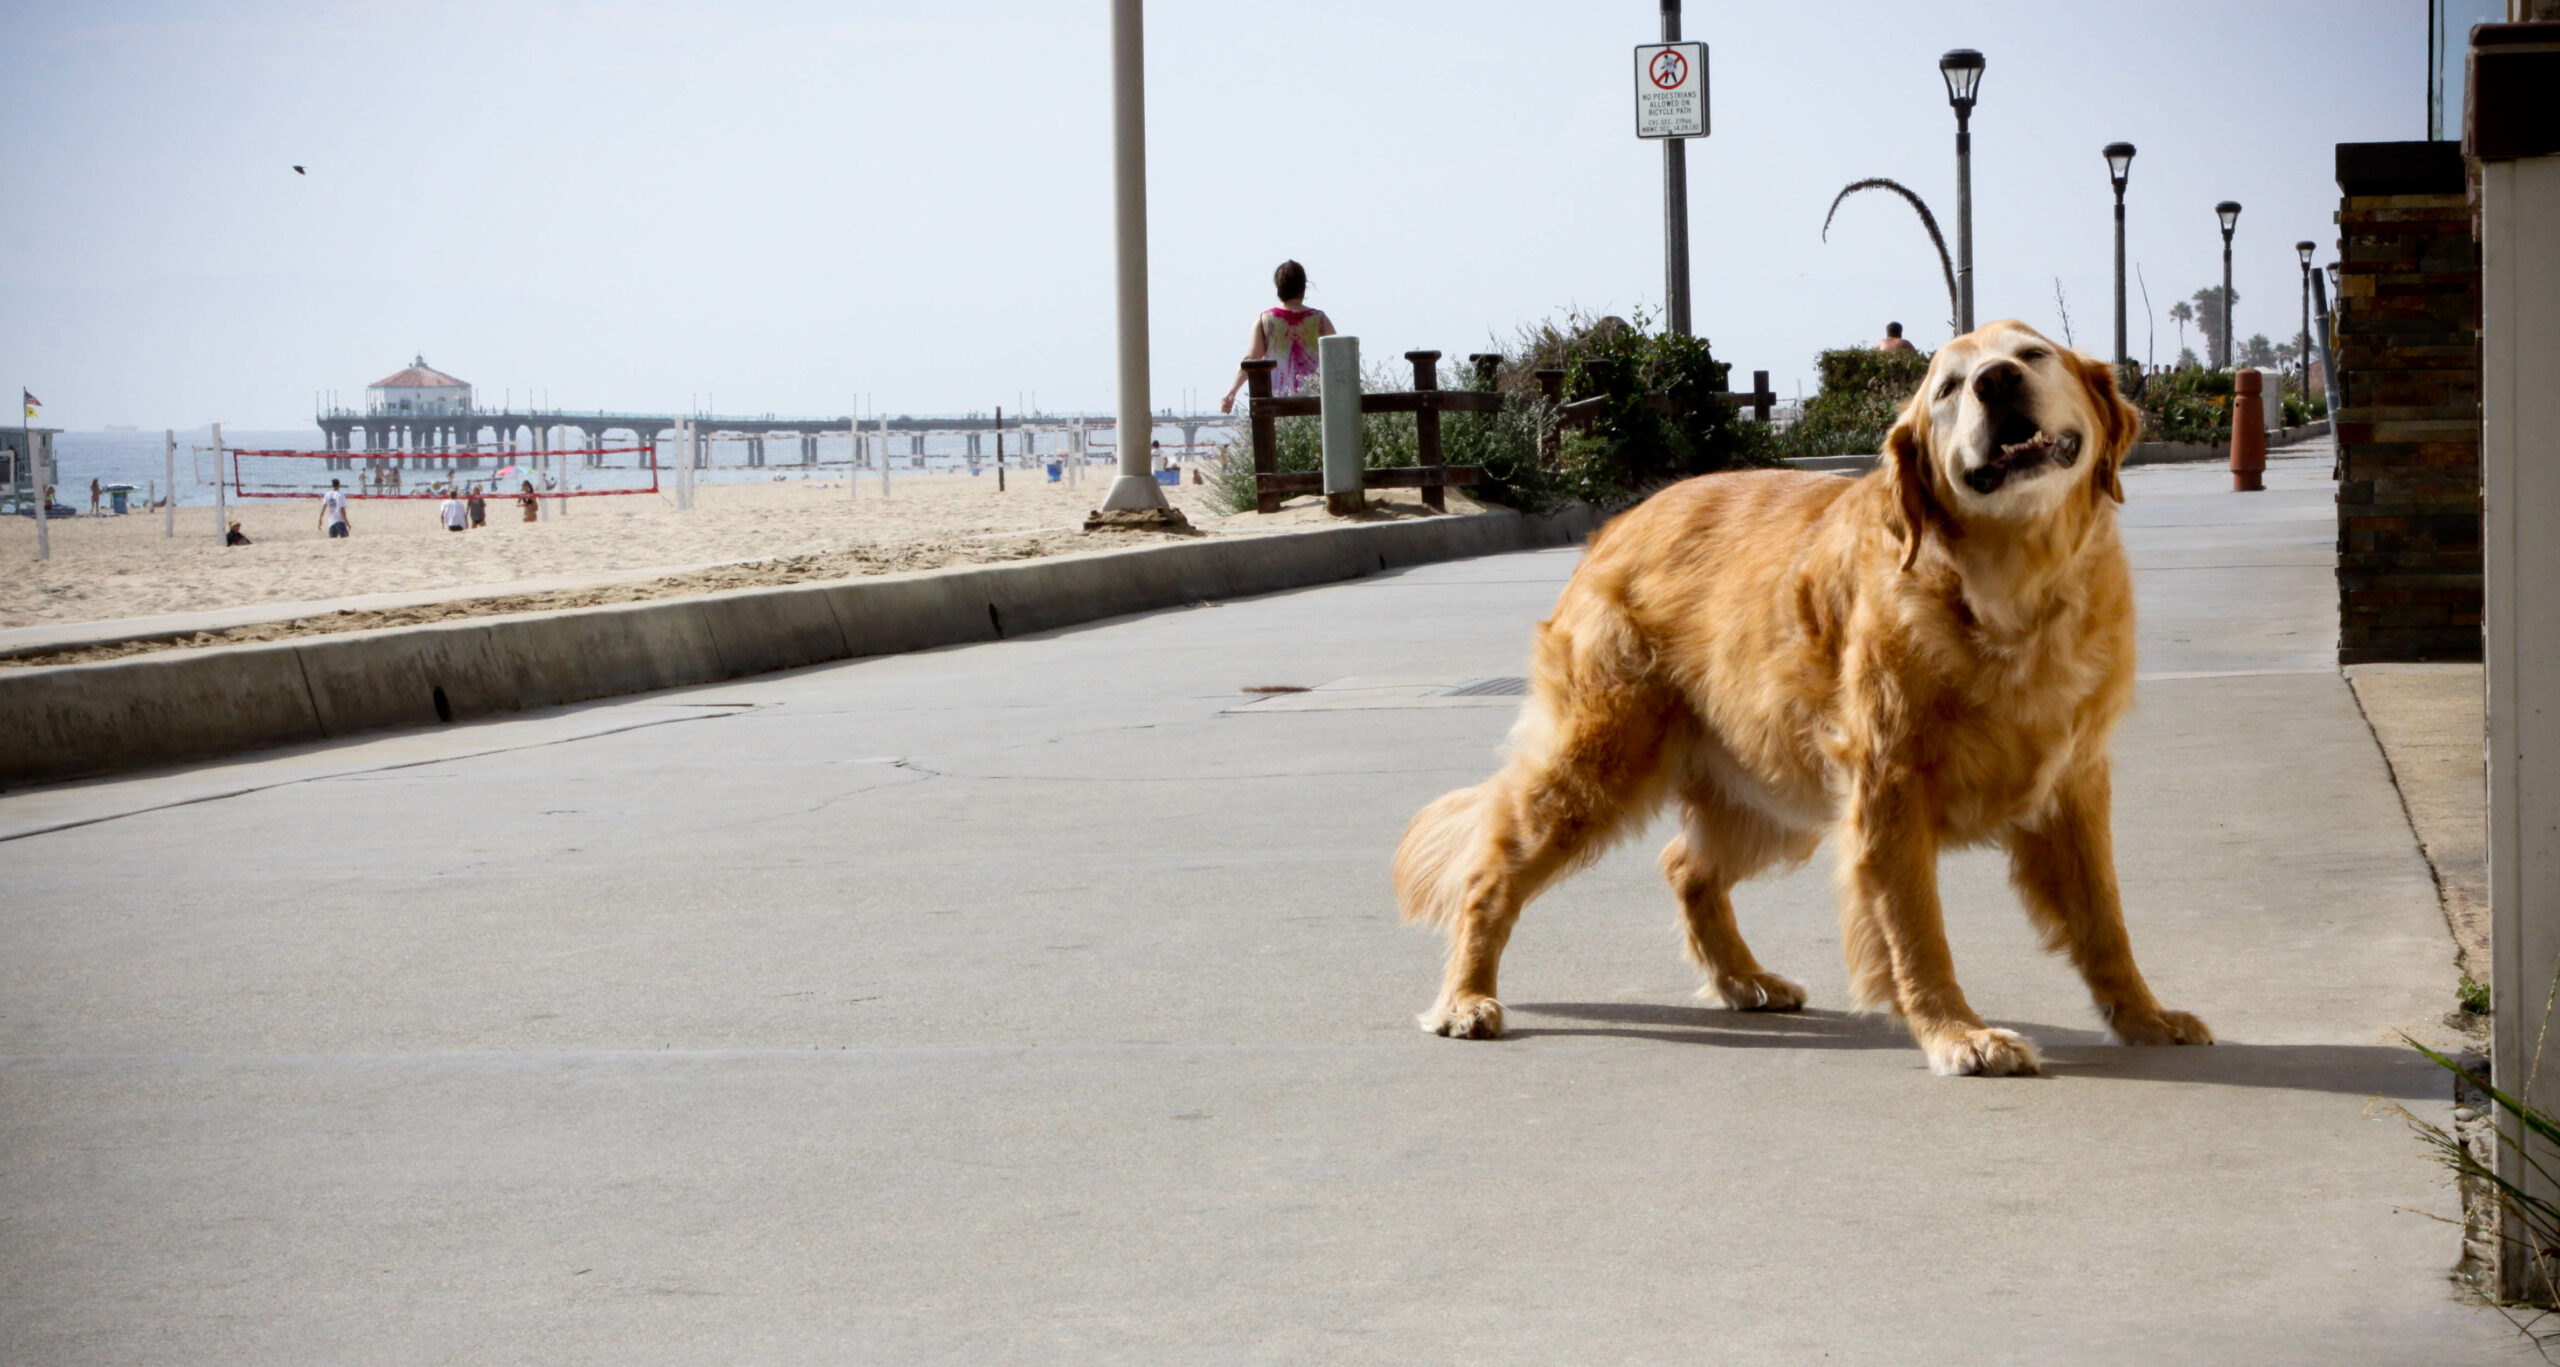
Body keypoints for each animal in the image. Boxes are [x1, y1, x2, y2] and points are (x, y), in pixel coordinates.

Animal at [1393, 321, 2211, 1076]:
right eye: (1948, 387)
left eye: (2032, 355)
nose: (1997, 381)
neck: (2011, 590)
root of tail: (1617, 524)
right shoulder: (1888, 792)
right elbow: (1918, 932)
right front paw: (1956, 1032)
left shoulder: (2075, 786)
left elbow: (2105, 921)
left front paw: (2143, 1016)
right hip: (1598, 765)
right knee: (1490, 875)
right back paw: (1466, 996)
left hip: (1773, 792)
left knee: (1685, 867)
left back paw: (1741, 976)